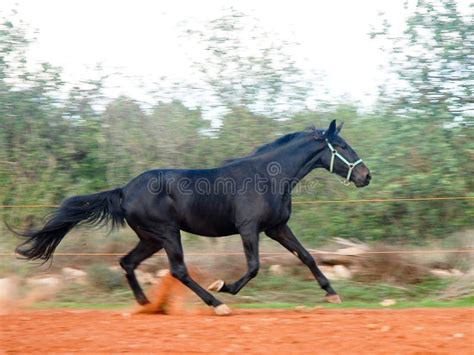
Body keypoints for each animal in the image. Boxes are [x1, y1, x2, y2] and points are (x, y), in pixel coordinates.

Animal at [15, 121, 370, 316]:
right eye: (341, 146)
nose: (366, 175)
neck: (269, 176)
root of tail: (124, 190)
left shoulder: (276, 227)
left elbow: (307, 256)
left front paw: (332, 293)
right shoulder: (249, 229)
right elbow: (254, 267)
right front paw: (225, 286)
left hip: (151, 238)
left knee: (128, 262)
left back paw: (147, 305)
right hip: (168, 233)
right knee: (178, 270)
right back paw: (216, 304)